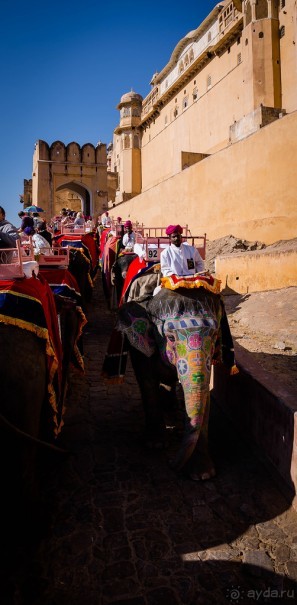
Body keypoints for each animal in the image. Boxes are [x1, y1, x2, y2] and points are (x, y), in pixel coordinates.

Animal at [115, 280, 234, 482]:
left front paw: (202, 475)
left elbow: (205, 394)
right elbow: (147, 381)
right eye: (170, 337)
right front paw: (156, 445)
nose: (170, 463)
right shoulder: (140, 345)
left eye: (214, 336)